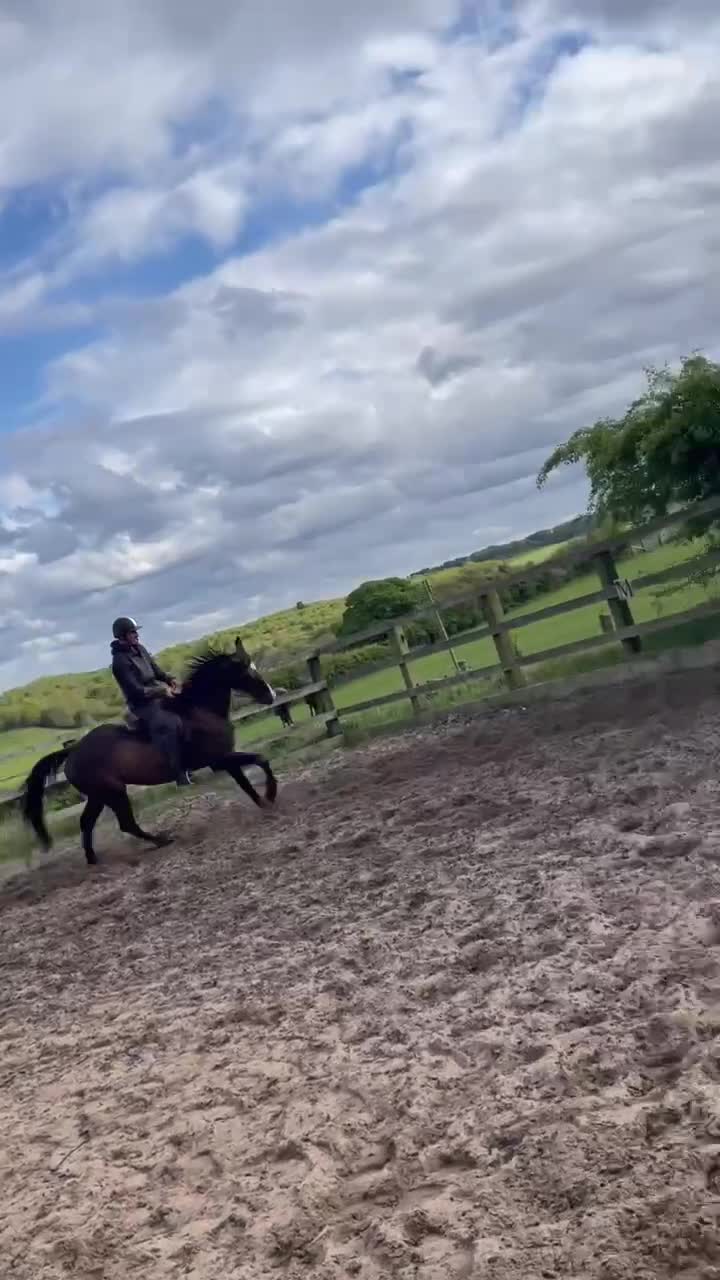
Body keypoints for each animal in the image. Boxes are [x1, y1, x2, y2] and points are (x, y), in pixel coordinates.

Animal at [21, 637, 277, 867]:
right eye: (246, 671)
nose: (271, 696)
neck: (200, 711)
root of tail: (74, 750)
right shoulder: (219, 760)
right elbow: (260, 760)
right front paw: (271, 795)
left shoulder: (225, 758)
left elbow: (247, 779)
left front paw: (264, 802)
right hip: (113, 792)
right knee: (125, 823)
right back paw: (161, 840)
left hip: (98, 795)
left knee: (87, 823)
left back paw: (93, 859)